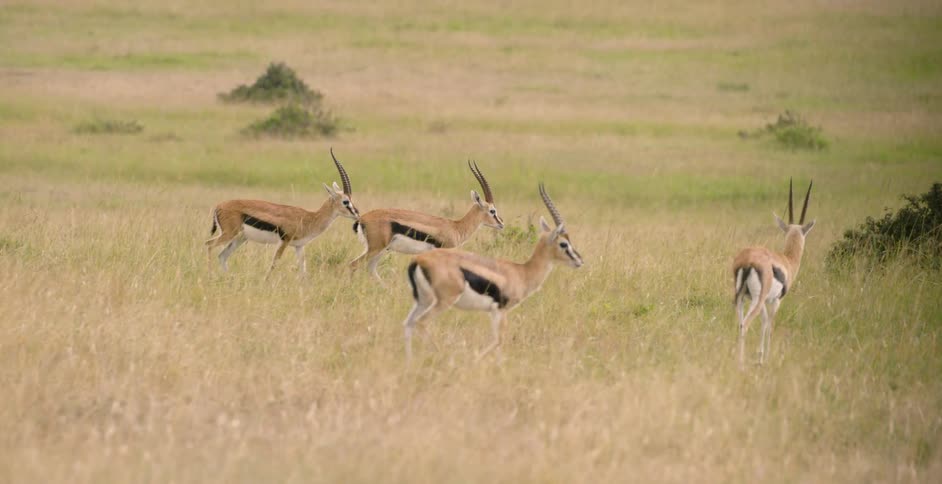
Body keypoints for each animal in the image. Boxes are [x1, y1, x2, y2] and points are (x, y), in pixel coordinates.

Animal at [205, 148, 359, 276]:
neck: (309, 218)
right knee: (209, 244)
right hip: (229, 234)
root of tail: (219, 206)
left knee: (222, 256)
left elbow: (303, 270)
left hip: (240, 238)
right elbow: (274, 263)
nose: (357, 214)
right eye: (346, 201)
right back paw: (211, 275)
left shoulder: (299, 246)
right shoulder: (284, 241)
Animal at [350, 160, 504, 281]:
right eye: (492, 211)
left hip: (381, 250)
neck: (455, 227)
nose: (501, 223)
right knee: (353, 265)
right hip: (376, 248)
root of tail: (362, 218)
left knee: (370, 268)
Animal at [402, 183, 583, 361]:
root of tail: (419, 260)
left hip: (423, 300)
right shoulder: (501, 311)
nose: (579, 260)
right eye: (564, 243)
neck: (522, 272)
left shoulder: (495, 312)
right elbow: (499, 340)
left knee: (409, 323)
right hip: (443, 301)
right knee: (421, 323)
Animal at [732, 179, 815, 368]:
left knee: (740, 323)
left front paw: (760, 357)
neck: (787, 260)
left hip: (742, 298)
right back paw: (740, 364)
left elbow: (764, 323)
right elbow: (770, 326)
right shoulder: (775, 301)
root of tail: (748, 261)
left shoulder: (764, 302)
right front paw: (767, 359)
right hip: (756, 300)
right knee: (745, 324)